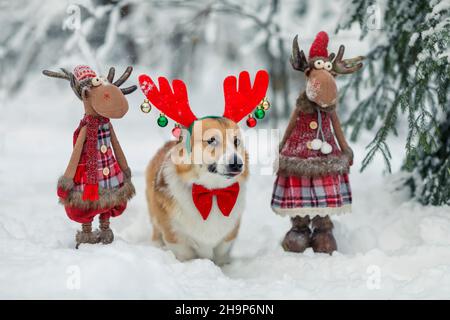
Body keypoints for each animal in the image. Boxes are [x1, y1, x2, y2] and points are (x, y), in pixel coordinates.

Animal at [139, 70, 268, 262]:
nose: (237, 164)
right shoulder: (176, 238)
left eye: (236, 141)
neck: (212, 193)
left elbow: (221, 258)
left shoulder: (227, 240)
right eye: (211, 140)